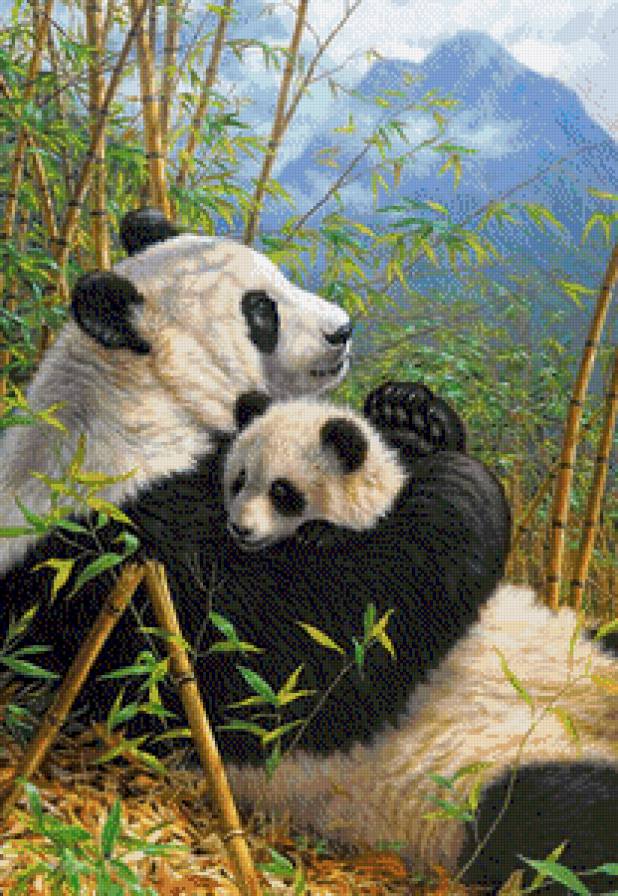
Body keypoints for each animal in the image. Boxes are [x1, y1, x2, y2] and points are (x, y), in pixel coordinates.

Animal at [195, 388, 617, 894]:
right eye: (238, 480)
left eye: (282, 491)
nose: (240, 528)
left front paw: (411, 416)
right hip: (476, 783)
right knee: (556, 813)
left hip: (582, 651)